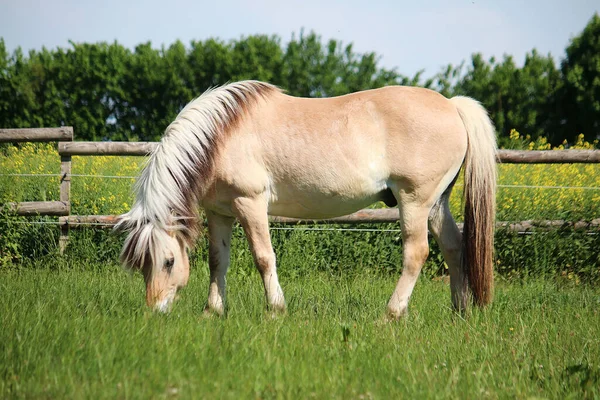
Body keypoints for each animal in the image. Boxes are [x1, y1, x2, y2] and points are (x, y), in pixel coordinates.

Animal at [116, 81, 496, 318]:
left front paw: (275, 310)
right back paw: (459, 311)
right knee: (454, 247)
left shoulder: (250, 203)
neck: (222, 134)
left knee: (416, 254)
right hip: (436, 204)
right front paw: (213, 311)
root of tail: (452, 105)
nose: (156, 310)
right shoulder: (219, 212)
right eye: (141, 264)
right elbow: (217, 262)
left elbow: (264, 257)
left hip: (414, 201)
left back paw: (391, 314)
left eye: (168, 262)